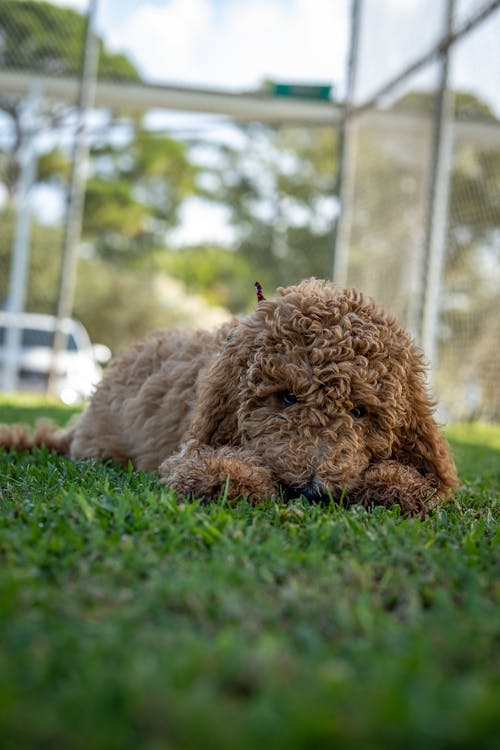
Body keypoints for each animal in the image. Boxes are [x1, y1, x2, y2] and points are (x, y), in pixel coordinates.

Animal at [0, 280, 458, 516]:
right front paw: (236, 479)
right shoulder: (191, 447)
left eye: (361, 411)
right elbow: (209, 469)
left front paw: (395, 484)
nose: (312, 492)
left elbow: (424, 481)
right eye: (286, 398)